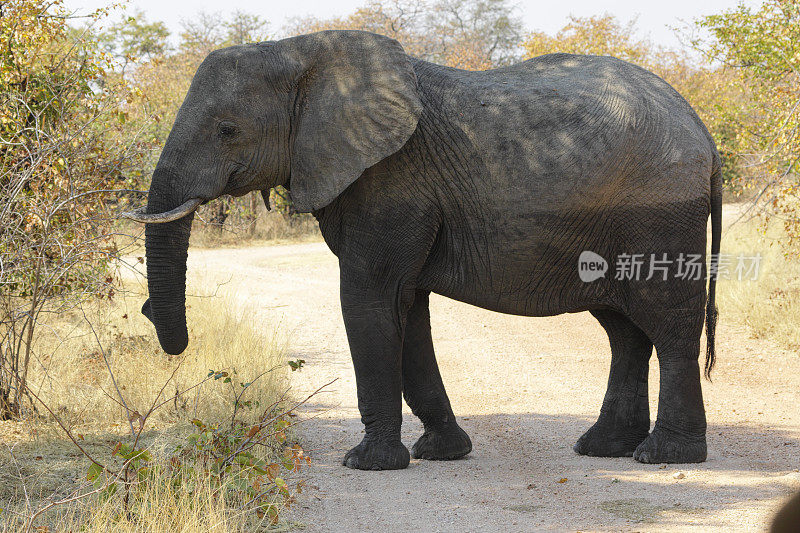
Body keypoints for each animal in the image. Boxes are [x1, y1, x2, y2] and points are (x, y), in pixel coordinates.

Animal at [126, 30, 724, 470]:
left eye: (228, 129)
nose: (150, 312)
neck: (305, 51)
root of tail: (704, 130)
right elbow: (406, 308)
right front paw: (440, 453)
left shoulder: (393, 180)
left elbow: (369, 300)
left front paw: (366, 463)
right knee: (624, 329)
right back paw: (603, 448)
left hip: (660, 213)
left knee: (668, 323)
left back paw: (665, 456)